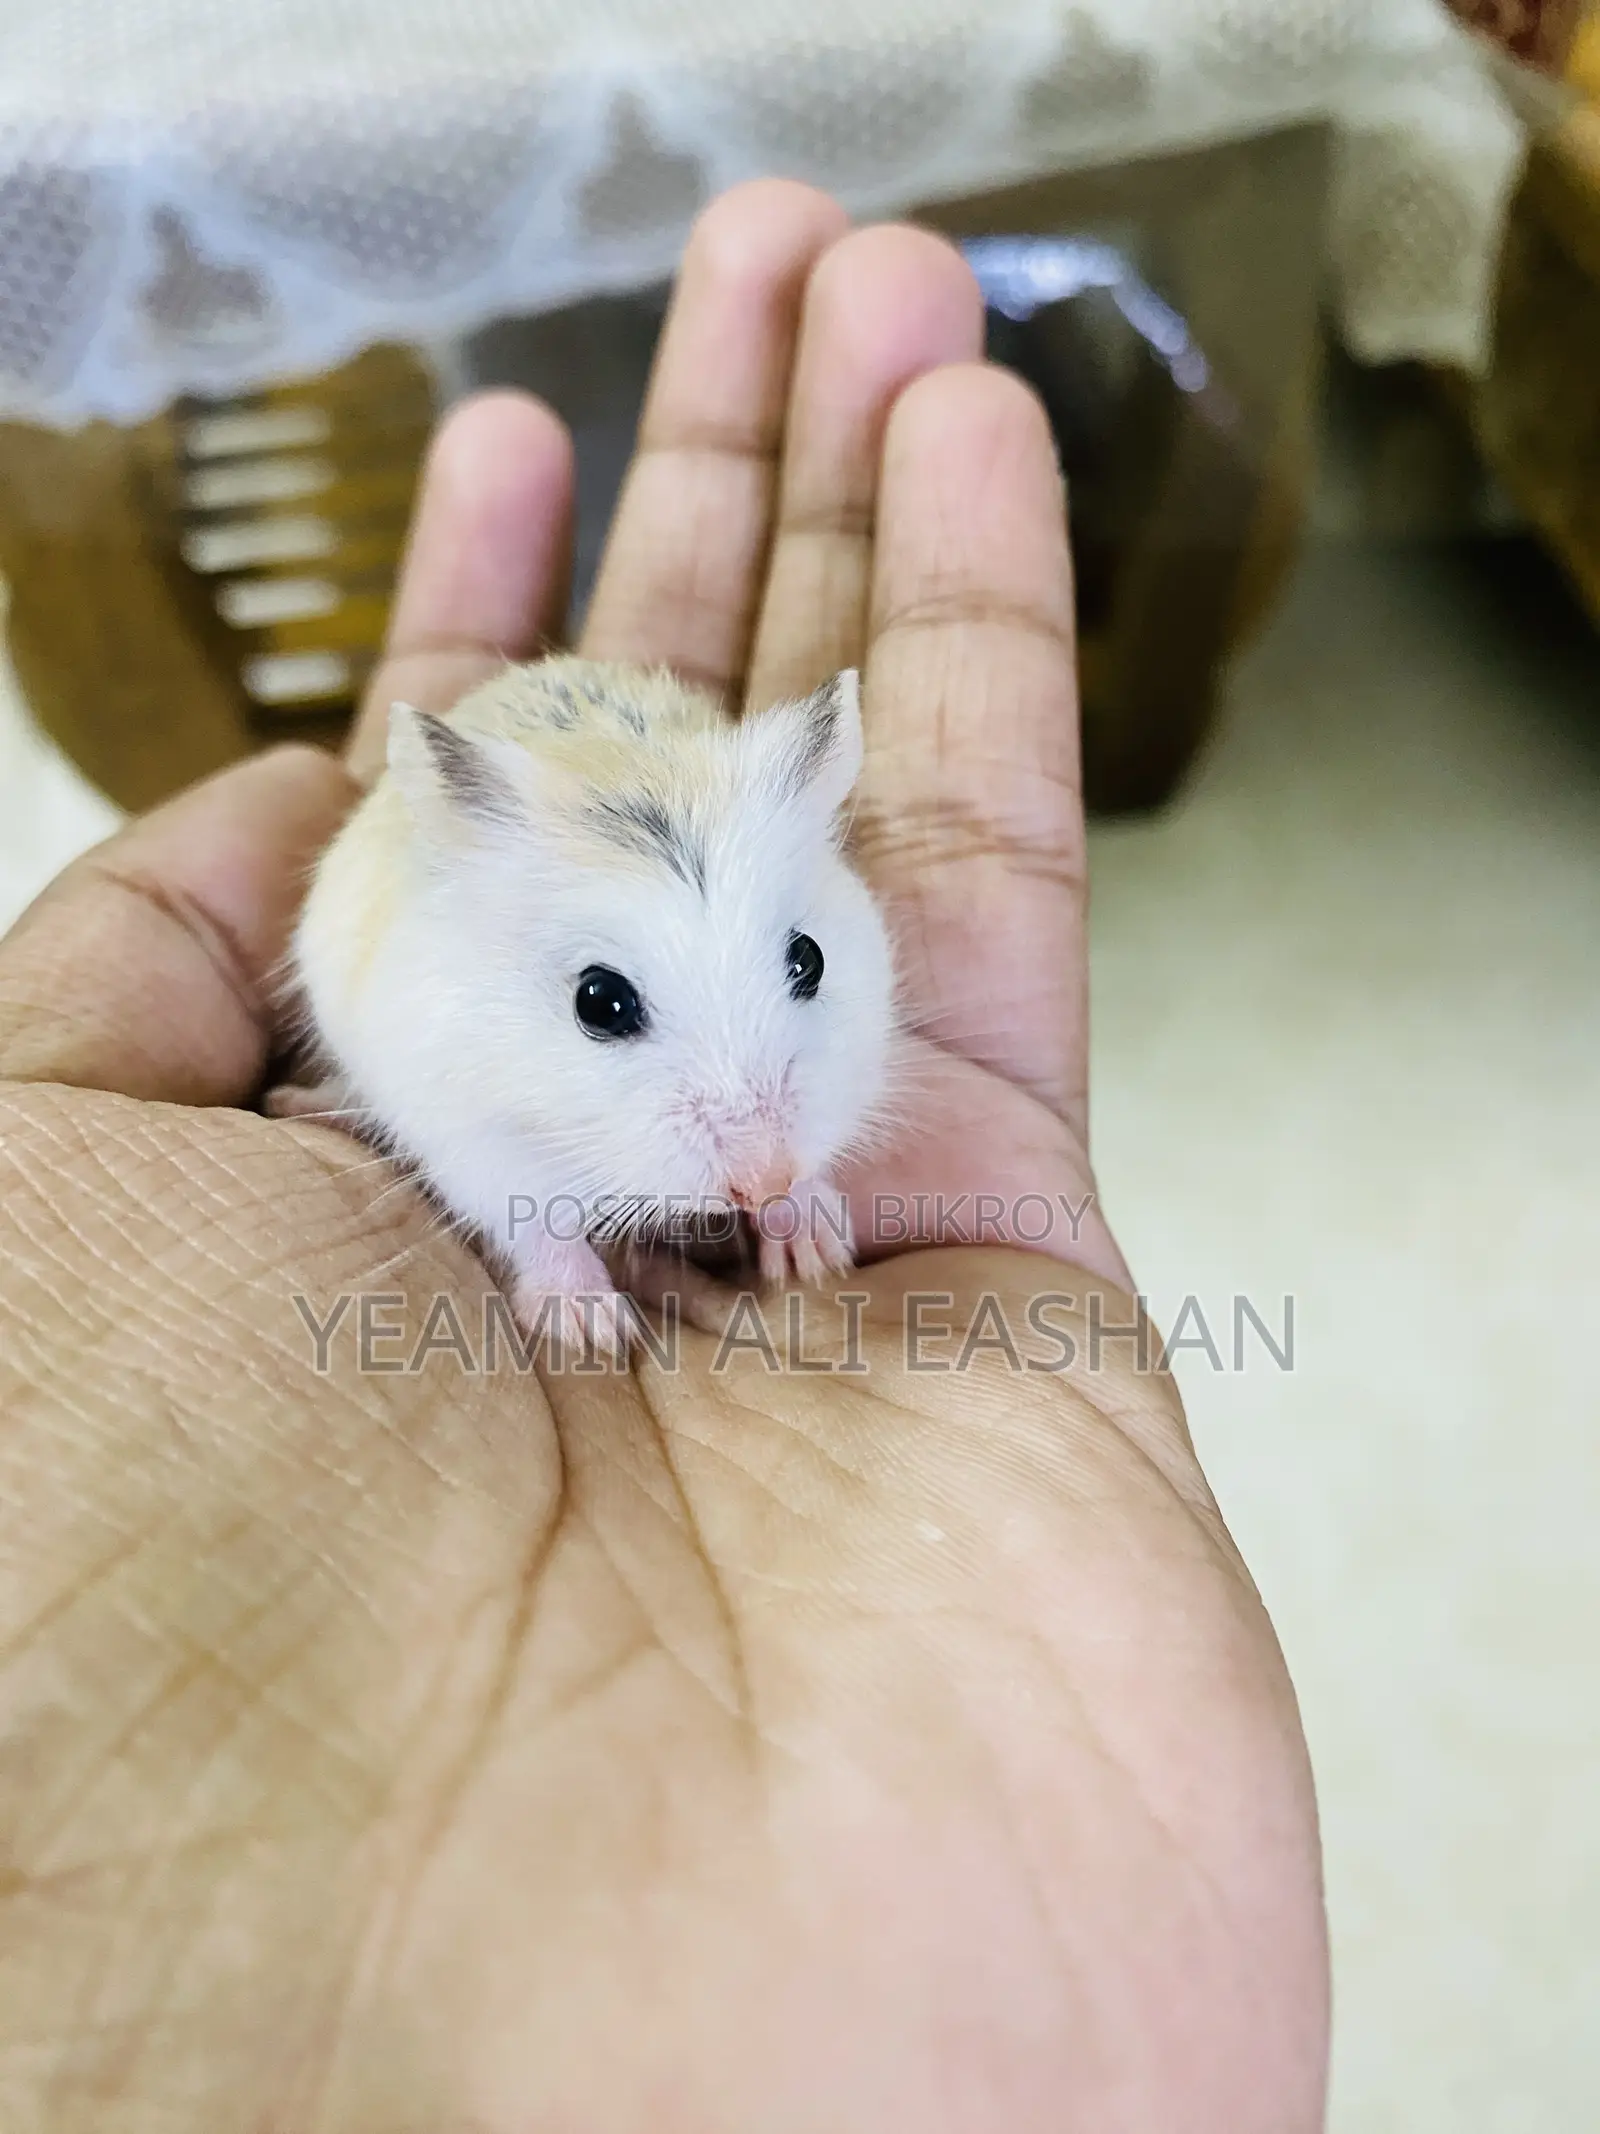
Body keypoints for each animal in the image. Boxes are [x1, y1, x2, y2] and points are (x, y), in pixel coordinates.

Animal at [274, 656, 898, 1359]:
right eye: (600, 1003)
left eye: (808, 959)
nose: (764, 1182)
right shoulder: (470, 1136)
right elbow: (534, 1224)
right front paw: (593, 1330)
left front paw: (818, 1255)